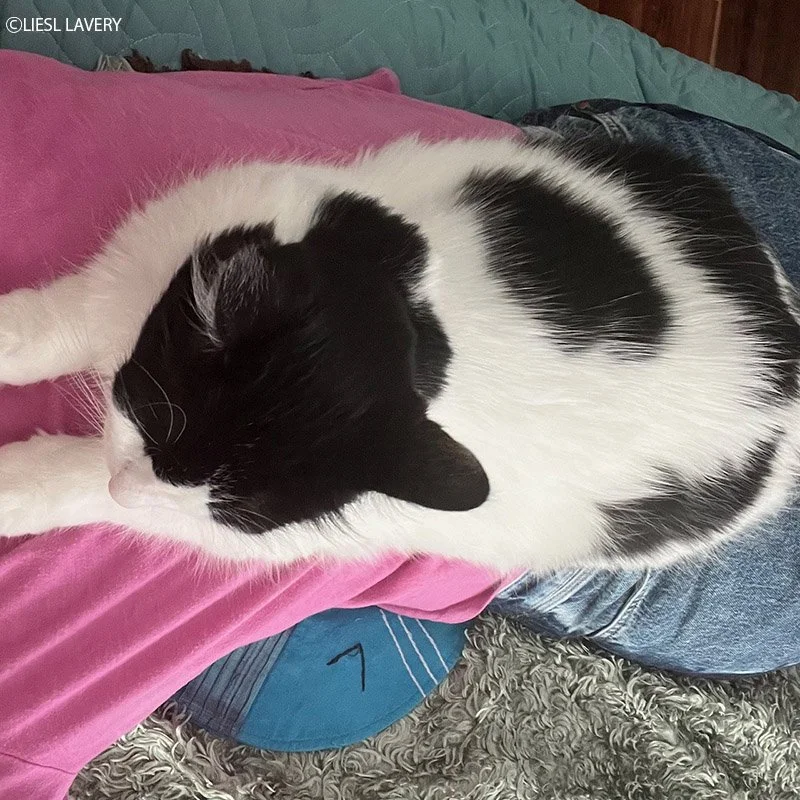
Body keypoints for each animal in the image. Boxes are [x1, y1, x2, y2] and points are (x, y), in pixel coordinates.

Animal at [0, 133, 798, 573]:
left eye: (240, 511)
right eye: (152, 417)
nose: (127, 487)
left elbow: (84, 480)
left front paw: (19, 488)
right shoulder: (124, 276)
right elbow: (51, 325)